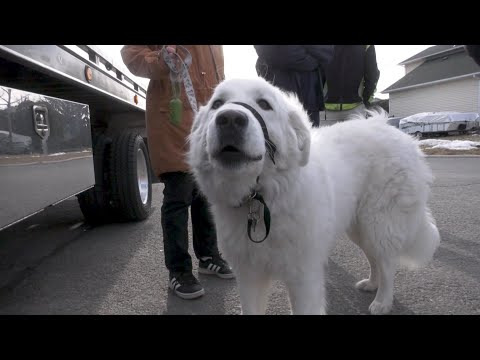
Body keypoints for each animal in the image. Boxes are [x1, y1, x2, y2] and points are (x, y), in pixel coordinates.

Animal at [186, 79, 440, 316]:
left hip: (379, 224)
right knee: (374, 258)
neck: (262, 200)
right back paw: (371, 284)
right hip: (359, 227)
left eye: (264, 104)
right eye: (217, 104)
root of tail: (402, 137)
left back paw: (382, 302)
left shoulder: (303, 278)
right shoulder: (249, 276)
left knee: (387, 263)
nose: (229, 118)